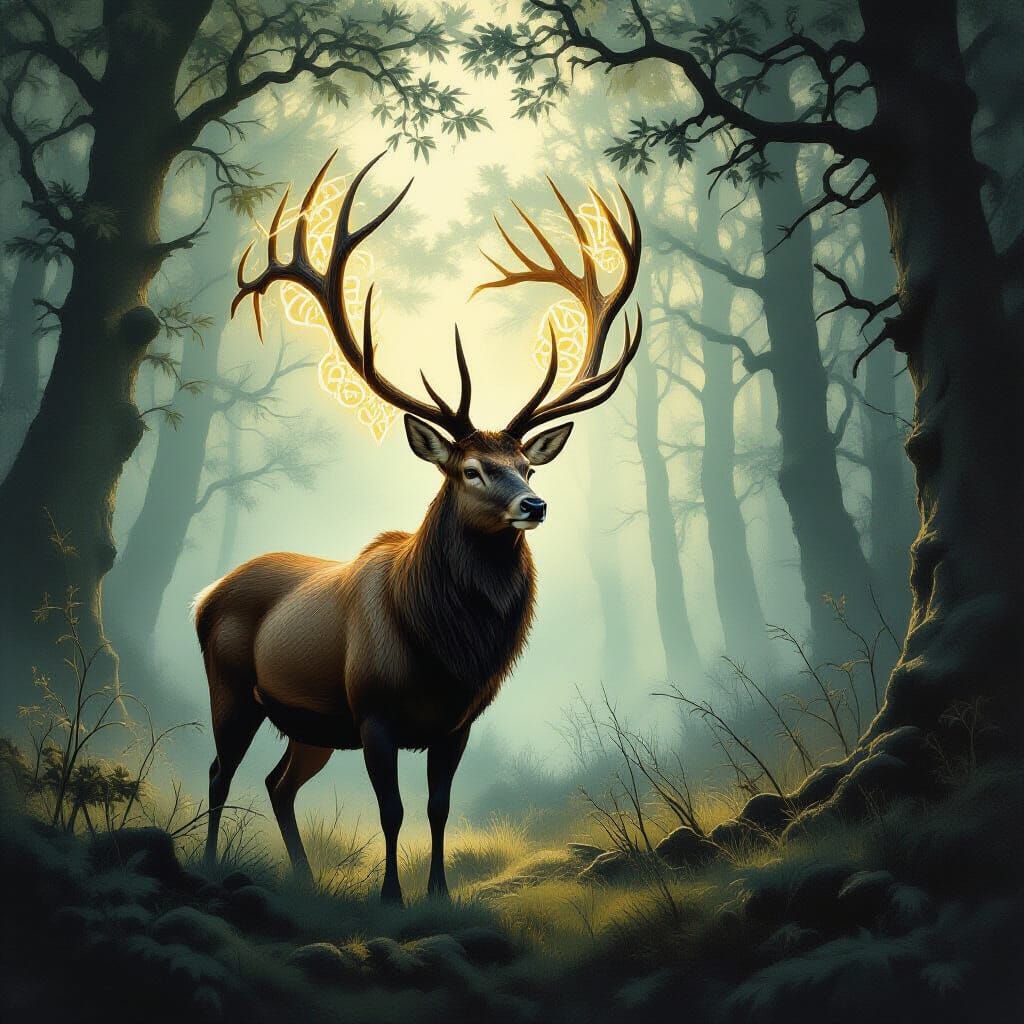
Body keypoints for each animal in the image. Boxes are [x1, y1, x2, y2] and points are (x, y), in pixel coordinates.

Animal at [194, 151, 642, 904]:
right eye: (470, 470)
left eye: (528, 464)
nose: (535, 506)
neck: (444, 650)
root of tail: (203, 595)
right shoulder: (374, 713)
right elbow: (393, 810)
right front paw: (391, 899)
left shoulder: (456, 723)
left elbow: (438, 808)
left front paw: (437, 895)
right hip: (232, 689)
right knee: (221, 772)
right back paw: (204, 866)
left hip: (310, 726)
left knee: (278, 784)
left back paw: (304, 881)